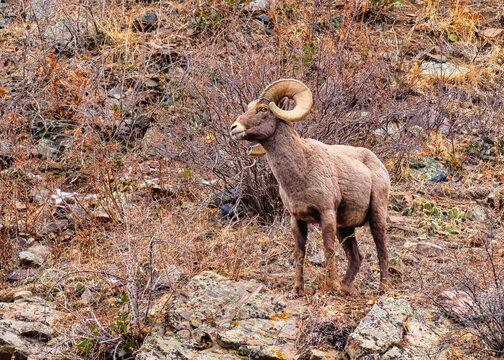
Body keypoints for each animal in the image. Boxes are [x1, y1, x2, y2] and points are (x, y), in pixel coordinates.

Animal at [228, 79, 390, 296]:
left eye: (262, 109)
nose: (234, 128)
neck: (301, 171)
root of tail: (378, 164)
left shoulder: (327, 214)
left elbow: (328, 249)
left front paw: (333, 287)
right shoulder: (297, 219)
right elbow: (299, 252)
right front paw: (298, 289)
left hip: (376, 216)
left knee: (382, 251)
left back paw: (381, 289)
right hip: (345, 228)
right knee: (356, 256)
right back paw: (346, 288)